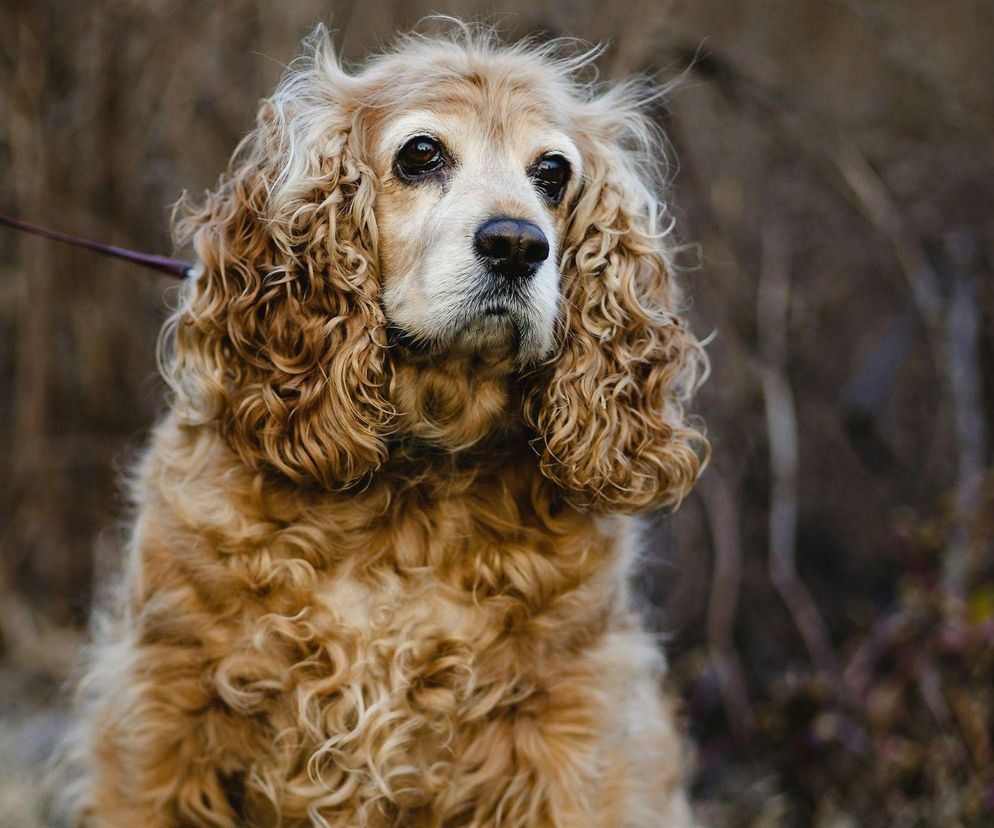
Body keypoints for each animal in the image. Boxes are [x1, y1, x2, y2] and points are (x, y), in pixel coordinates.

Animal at [62, 22, 708, 824]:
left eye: (553, 171)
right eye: (421, 153)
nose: (518, 244)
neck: (410, 491)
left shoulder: (568, 730)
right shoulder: (164, 715)